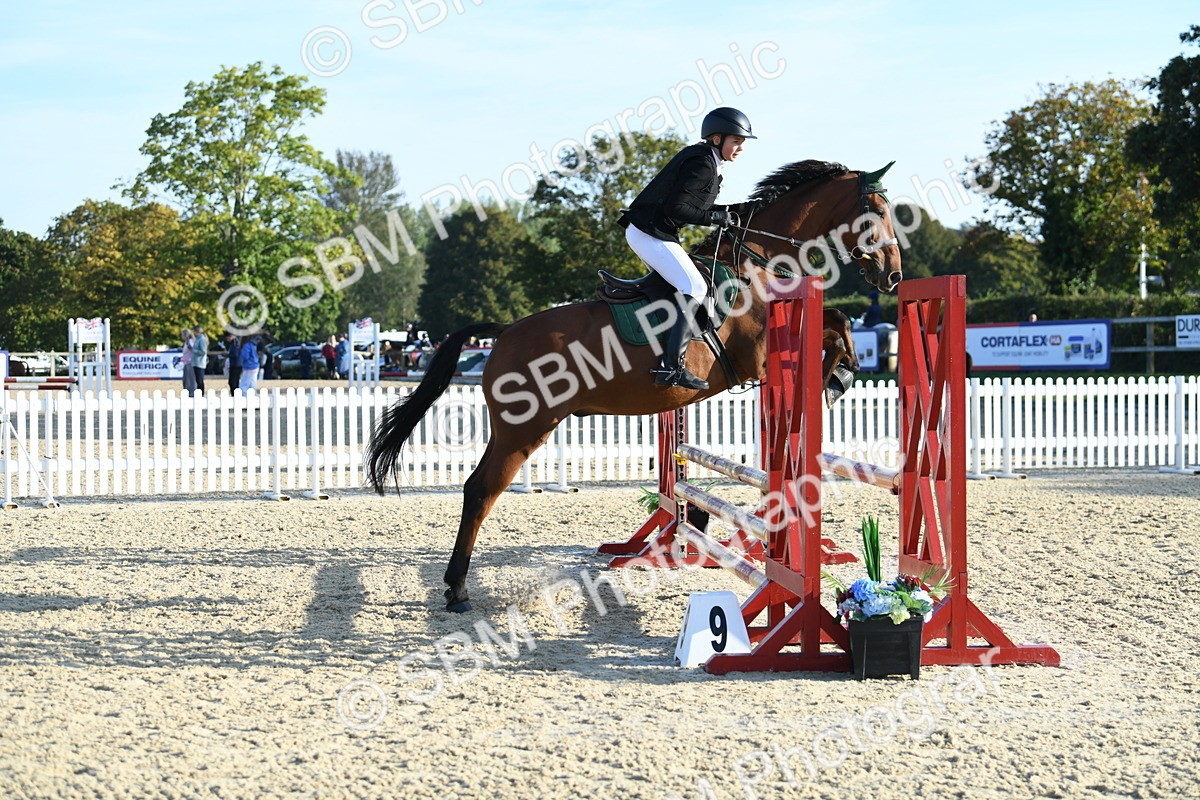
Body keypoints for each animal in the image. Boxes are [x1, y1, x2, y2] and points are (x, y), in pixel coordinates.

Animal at [367, 159, 903, 612]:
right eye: (877, 212)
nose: (894, 275)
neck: (758, 261)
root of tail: (502, 332)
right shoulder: (758, 356)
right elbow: (835, 329)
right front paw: (835, 378)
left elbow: (838, 320)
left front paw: (840, 373)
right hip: (524, 429)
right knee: (481, 490)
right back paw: (456, 589)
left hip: (516, 429)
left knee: (478, 488)